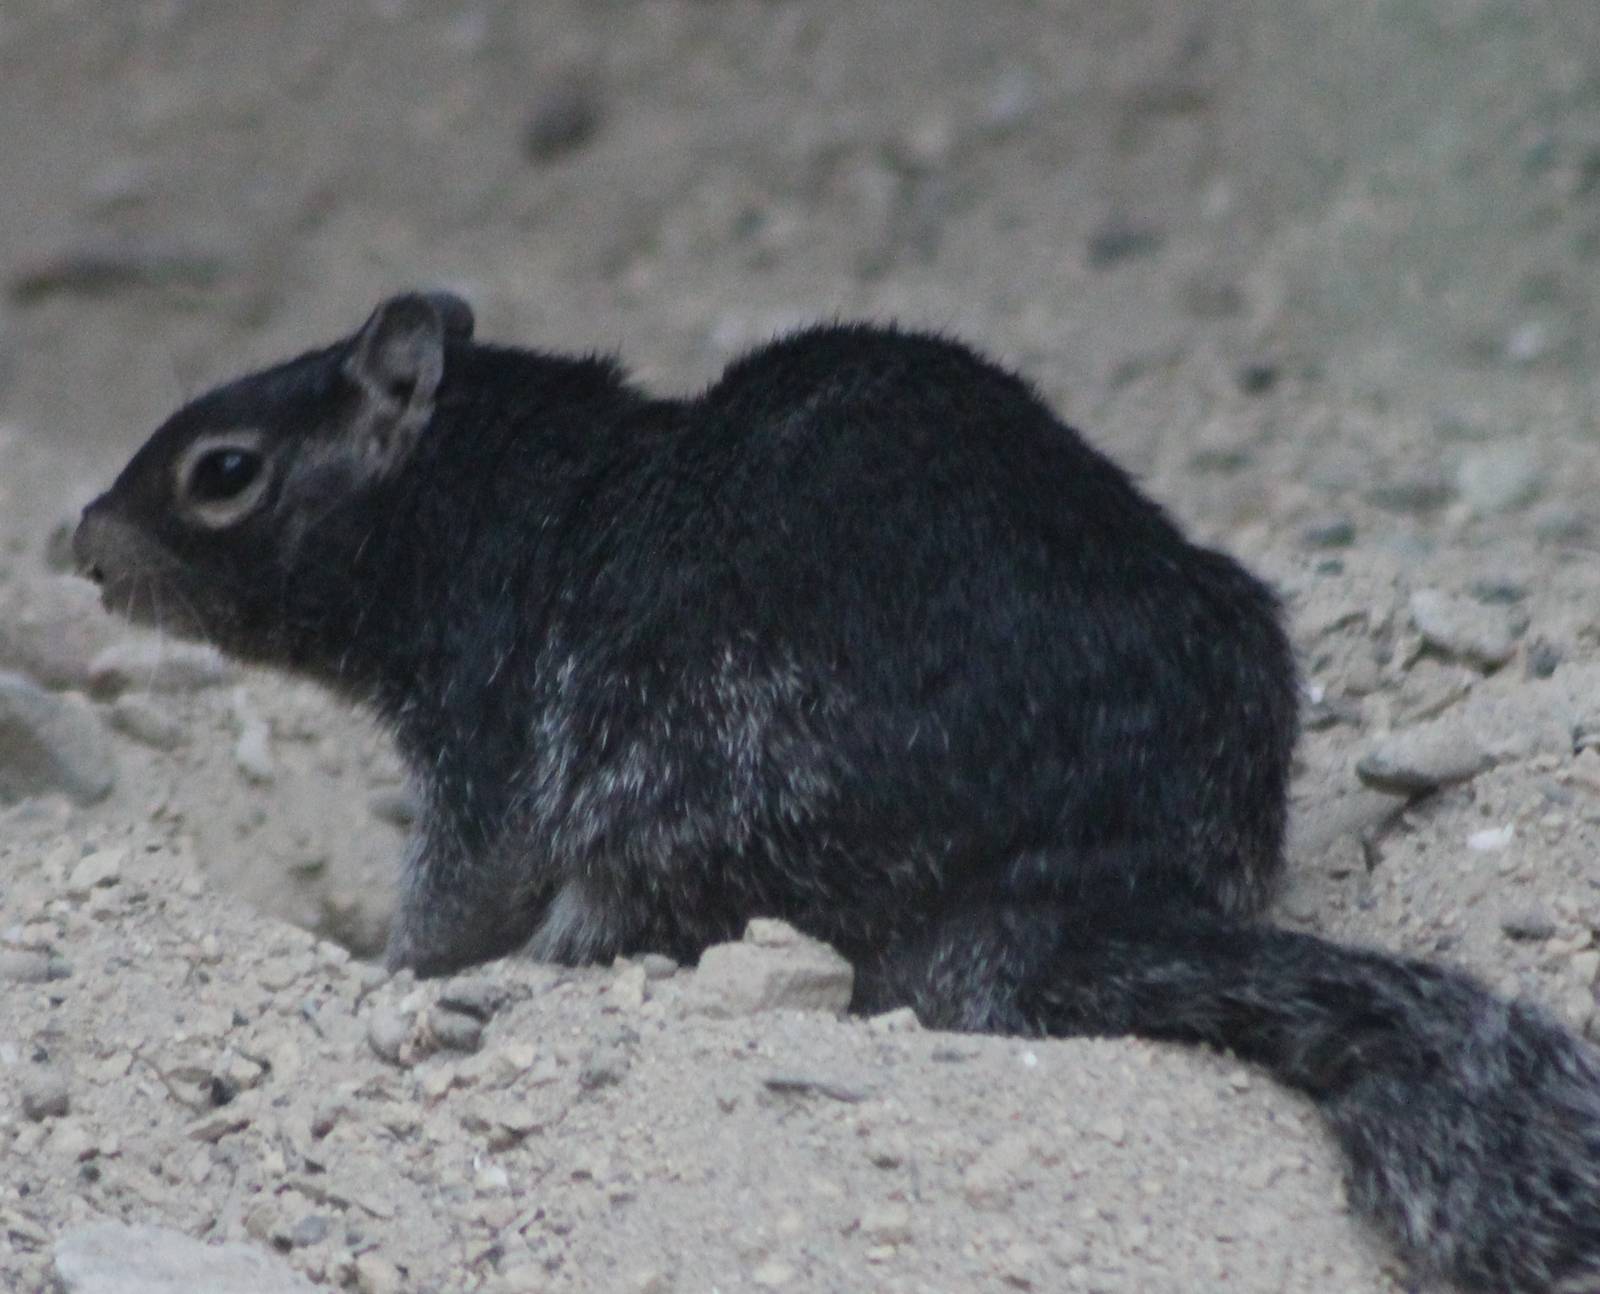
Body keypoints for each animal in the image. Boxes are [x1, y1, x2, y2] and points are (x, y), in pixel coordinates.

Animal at [75, 291, 1600, 1293]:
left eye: (223, 472)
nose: (82, 540)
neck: (498, 477)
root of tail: (1087, 879)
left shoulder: (486, 719)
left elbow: (456, 878)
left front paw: (400, 972)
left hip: (694, 776)